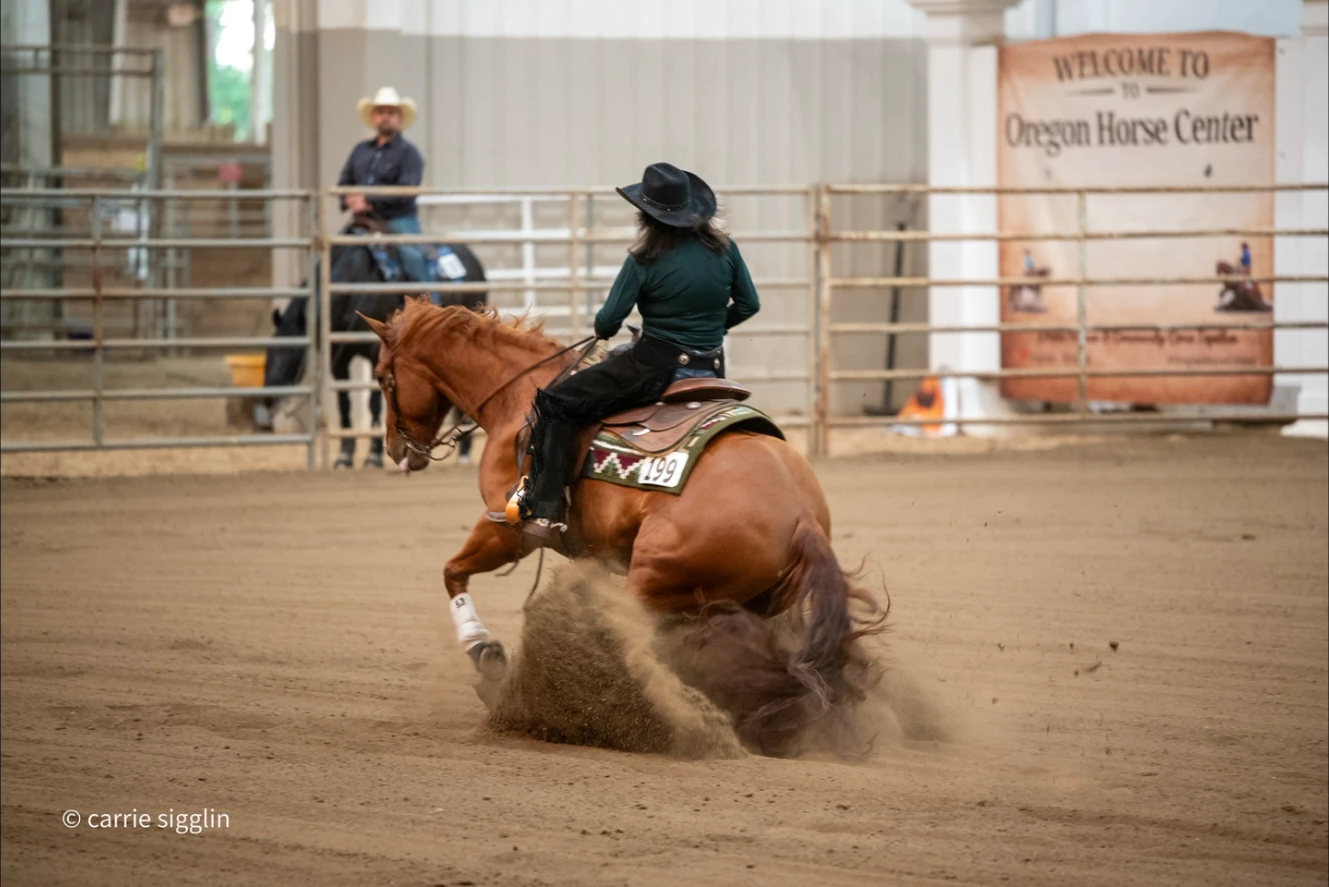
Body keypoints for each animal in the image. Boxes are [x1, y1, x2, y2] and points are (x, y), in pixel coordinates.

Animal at [262, 215, 487, 468]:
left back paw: (465, 454)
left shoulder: (374, 353)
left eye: (291, 352)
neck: (354, 284)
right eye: (269, 352)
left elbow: (374, 404)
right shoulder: (339, 358)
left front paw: (373, 456)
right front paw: (344, 456)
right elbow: (344, 403)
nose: (266, 399)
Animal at [361, 299, 886, 755]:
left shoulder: (509, 529)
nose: (396, 449)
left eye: (384, 378)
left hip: (656, 582)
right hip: (747, 602)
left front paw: (484, 650)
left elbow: (452, 571)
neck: (515, 399)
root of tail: (801, 517)